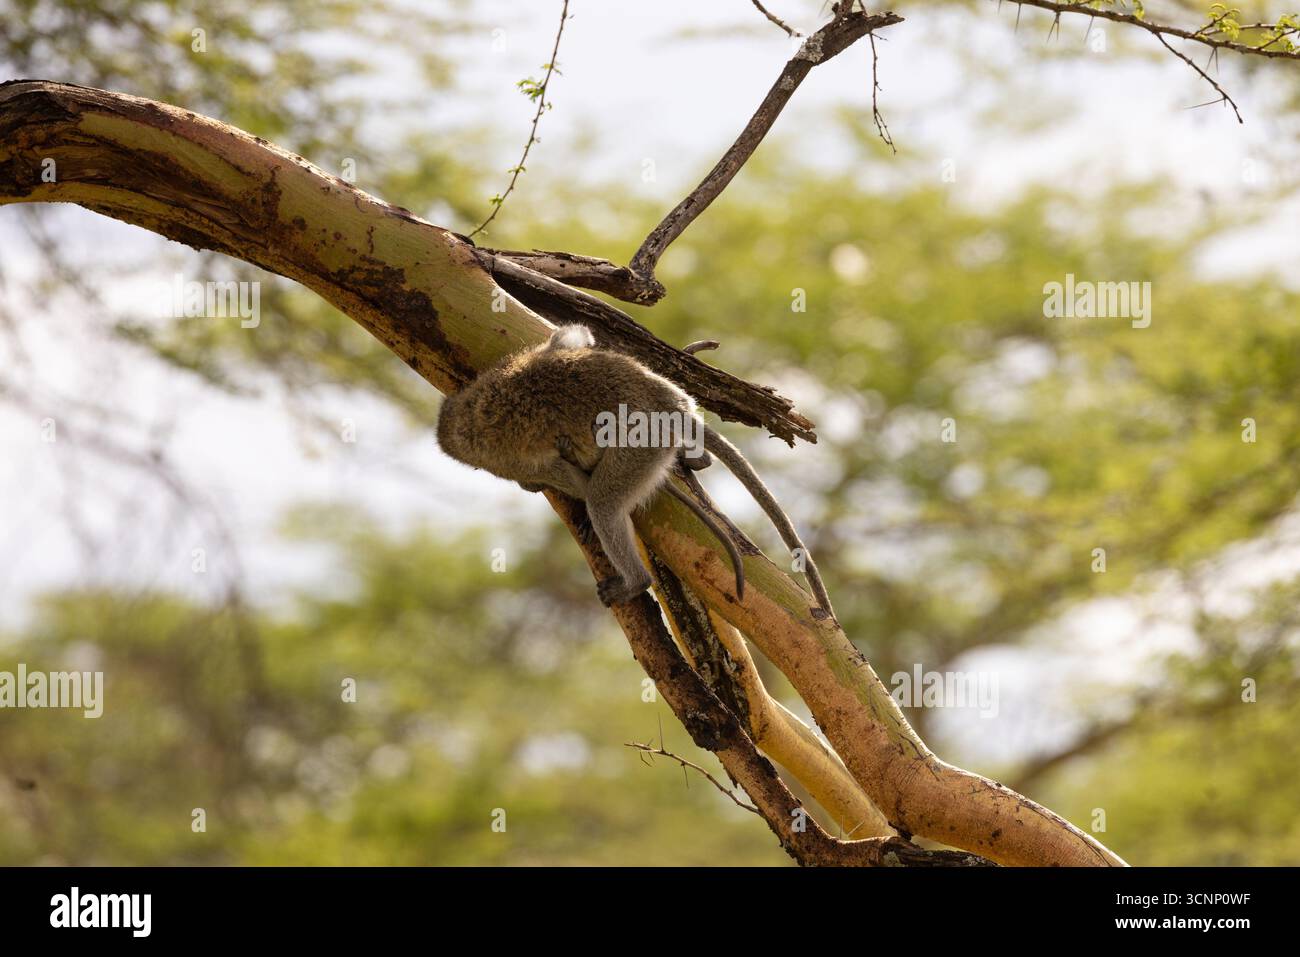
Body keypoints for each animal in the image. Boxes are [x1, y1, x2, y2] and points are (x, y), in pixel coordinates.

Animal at [436, 324, 835, 617]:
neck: (471, 409)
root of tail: (669, 405)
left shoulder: (508, 458)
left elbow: (572, 481)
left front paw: (538, 483)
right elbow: (573, 335)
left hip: (640, 445)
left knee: (602, 503)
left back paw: (634, 581)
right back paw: (695, 458)